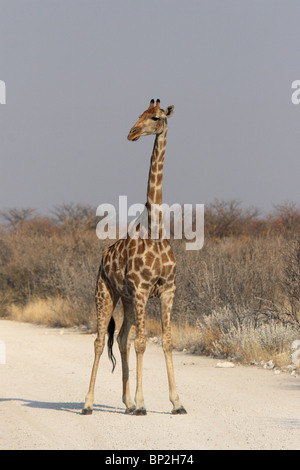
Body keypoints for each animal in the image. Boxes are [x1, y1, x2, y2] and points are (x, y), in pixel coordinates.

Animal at [81, 98, 186, 414]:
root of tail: (103, 256)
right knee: (100, 341)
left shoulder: (167, 290)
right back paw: (88, 403)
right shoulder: (141, 290)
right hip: (105, 293)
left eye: (155, 117)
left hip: (126, 300)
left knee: (122, 339)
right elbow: (142, 343)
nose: (131, 133)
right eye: (139, 114)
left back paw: (125, 402)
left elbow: (165, 341)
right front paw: (142, 403)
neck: (157, 231)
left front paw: (177, 403)